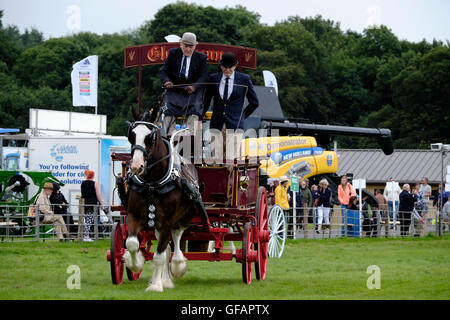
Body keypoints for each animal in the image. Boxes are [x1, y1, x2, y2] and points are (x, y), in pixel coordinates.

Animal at [123, 108, 200, 292]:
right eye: (131, 135)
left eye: (150, 137)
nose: (136, 166)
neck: (152, 183)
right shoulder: (134, 215)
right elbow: (132, 244)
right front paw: (135, 264)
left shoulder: (167, 221)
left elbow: (158, 256)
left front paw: (156, 286)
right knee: (165, 248)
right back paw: (165, 279)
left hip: (183, 217)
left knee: (176, 239)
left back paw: (177, 266)